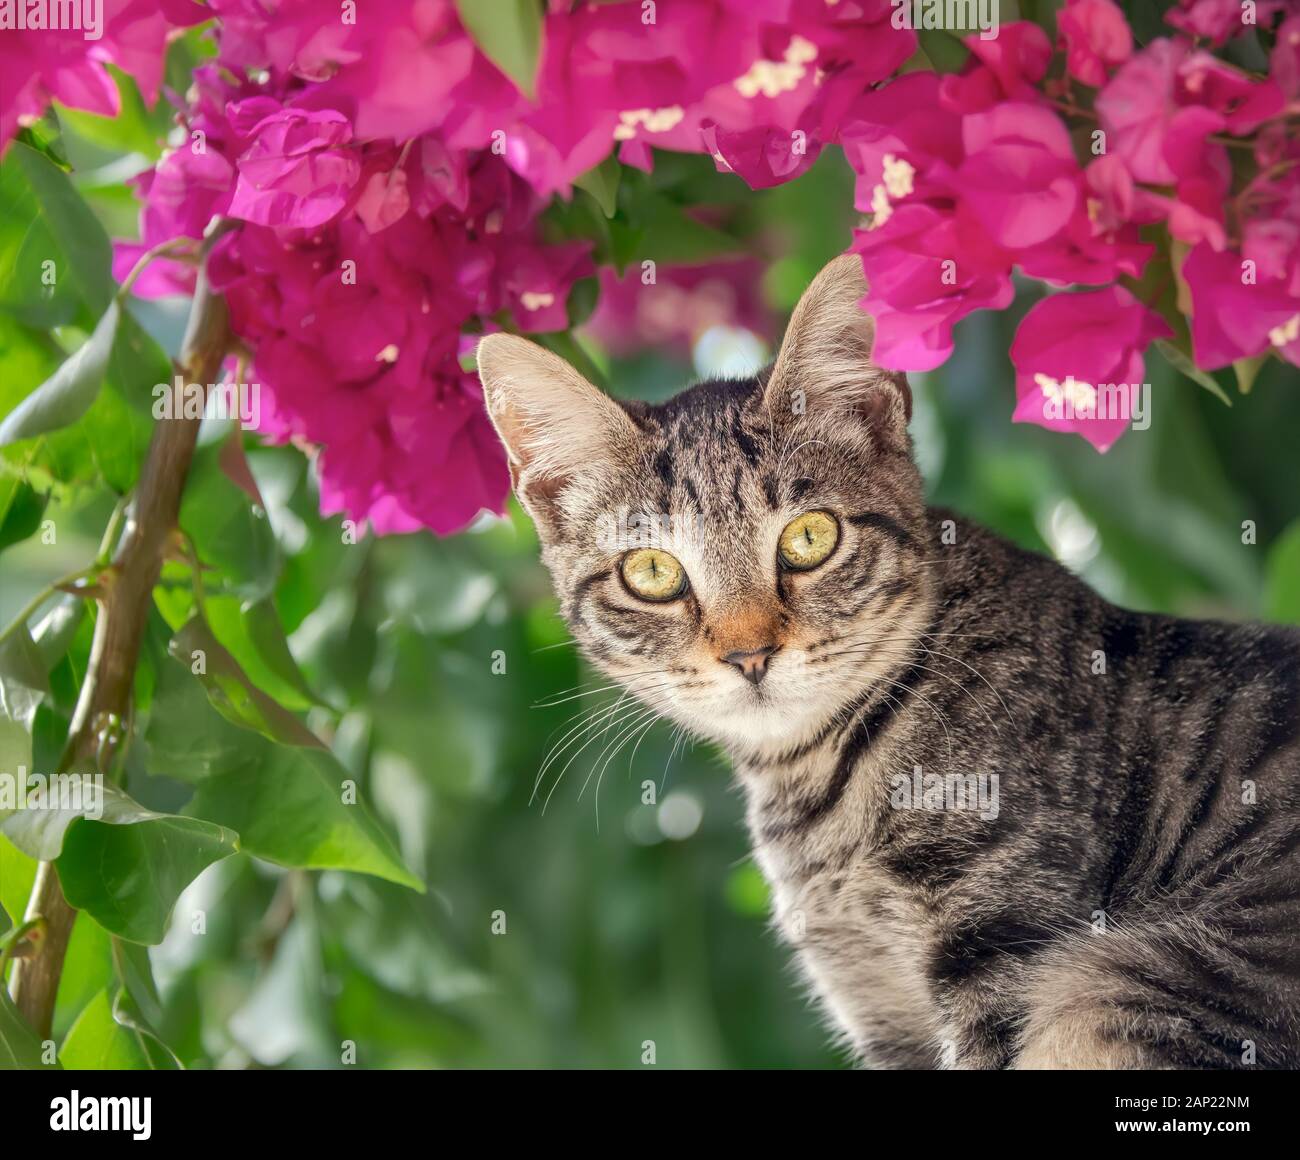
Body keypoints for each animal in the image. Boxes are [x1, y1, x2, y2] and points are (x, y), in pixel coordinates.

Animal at [475, 253, 1300, 1071]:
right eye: (650, 572)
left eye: (810, 538)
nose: (749, 654)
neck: (817, 792)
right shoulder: (879, 1006)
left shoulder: (1002, 941)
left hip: (1120, 991)